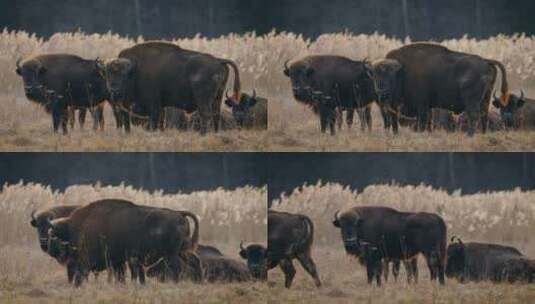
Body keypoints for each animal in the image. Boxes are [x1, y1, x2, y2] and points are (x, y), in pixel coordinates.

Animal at [44, 200, 202, 288]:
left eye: (53, 236)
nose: (50, 250)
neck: (74, 228)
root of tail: (179, 213)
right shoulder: (118, 261)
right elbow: (120, 276)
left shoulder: (87, 260)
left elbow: (82, 273)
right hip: (182, 251)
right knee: (194, 262)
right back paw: (198, 280)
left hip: (171, 255)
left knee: (178, 267)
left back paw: (177, 282)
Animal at [98, 41, 243, 134]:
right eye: (107, 74)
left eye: (124, 75)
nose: (114, 90)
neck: (135, 70)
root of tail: (218, 60)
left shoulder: (153, 105)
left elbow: (154, 121)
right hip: (218, 97)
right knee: (216, 114)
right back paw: (215, 133)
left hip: (203, 99)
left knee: (205, 114)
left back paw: (203, 134)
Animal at [374, 44, 512, 135]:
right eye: (375, 75)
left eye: (391, 75)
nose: (382, 92)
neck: (403, 70)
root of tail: (486, 61)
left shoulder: (421, 104)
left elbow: (423, 119)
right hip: (486, 98)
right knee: (484, 115)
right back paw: (483, 134)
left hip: (472, 101)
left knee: (474, 116)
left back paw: (470, 135)